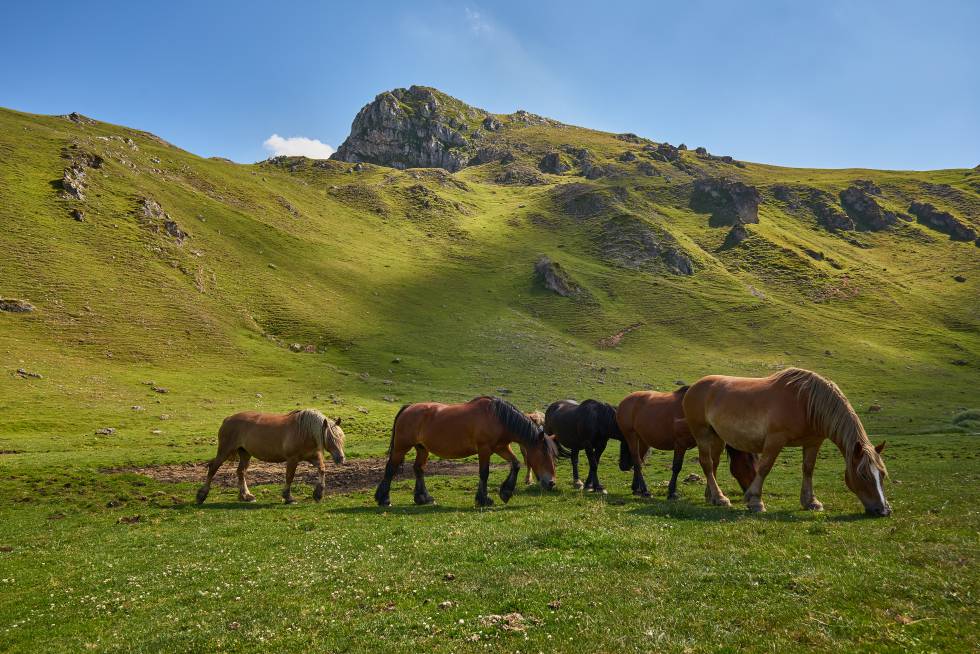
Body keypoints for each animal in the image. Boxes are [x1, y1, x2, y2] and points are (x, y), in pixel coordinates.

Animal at [196, 409, 346, 505]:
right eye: (330, 438)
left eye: (341, 438)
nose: (341, 458)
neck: (304, 431)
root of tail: (227, 419)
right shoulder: (292, 459)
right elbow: (289, 477)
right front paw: (288, 497)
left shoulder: (312, 457)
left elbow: (322, 470)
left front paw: (318, 494)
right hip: (225, 451)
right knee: (213, 468)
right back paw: (201, 496)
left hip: (245, 453)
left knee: (241, 472)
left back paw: (246, 496)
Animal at [374, 396, 559, 508]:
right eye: (544, 454)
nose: (551, 483)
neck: (498, 417)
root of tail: (408, 408)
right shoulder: (485, 449)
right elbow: (484, 473)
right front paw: (483, 499)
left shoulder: (501, 447)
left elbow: (515, 463)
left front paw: (505, 492)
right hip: (401, 447)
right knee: (390, 468)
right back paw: (384, 499)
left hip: (422, 448)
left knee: (418, 469)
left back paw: (423, 498)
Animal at [616, 387, 759, 499]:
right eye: (747, 466)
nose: (752, 494)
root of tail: (625, 401)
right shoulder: (680, 444)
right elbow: (677, 467)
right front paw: (672, 492)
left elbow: (712, 465)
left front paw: (710, 493)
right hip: (631, 436)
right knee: (637, 461)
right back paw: (645, 490)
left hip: (643, 440)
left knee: (639, 461)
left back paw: (636, 488)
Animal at [683, 367, 891, 515]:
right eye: (863, 475)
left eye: (882, 474)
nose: (884, 510)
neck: (805, 402)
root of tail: (694, 387)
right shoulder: (775, 440)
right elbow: (764, 468)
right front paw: (755, 501)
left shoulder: (813, 443)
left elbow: (808, 469)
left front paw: (811, 502)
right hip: (702, 434)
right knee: (707, 463)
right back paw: (720, 497)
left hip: (717, 437)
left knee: (714, 464)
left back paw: (712, 497)